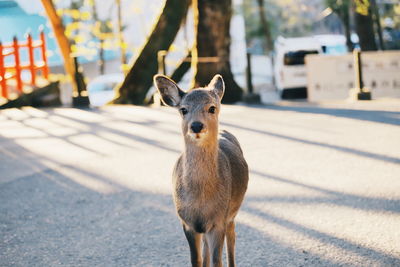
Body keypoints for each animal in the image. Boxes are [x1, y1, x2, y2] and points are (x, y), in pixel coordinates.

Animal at [155, 74, 248, 267]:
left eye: (212, 108)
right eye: (183, 109)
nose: (196, 126)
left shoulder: (219, 219)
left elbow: (217, 260)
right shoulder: (188, 223)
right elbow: (196, 260)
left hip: (232, 212)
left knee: (232, 237)